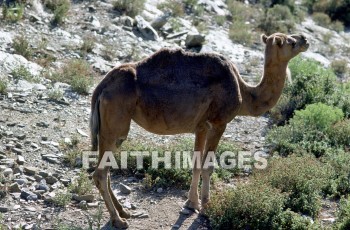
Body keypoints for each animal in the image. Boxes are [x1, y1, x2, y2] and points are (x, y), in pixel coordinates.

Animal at [89, 32, 308, 228]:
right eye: (291, 41)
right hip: (116, 119)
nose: (305, 39)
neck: (245, 94)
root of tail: (101, 87)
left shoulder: (201, 126)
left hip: (110, 128)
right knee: (100, 173)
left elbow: (196, 164)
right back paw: (118, 220)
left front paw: (191, 203)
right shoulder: (219, 123)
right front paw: (206, 207)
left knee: (106, 168)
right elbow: (208, 166)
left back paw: (123, 212)